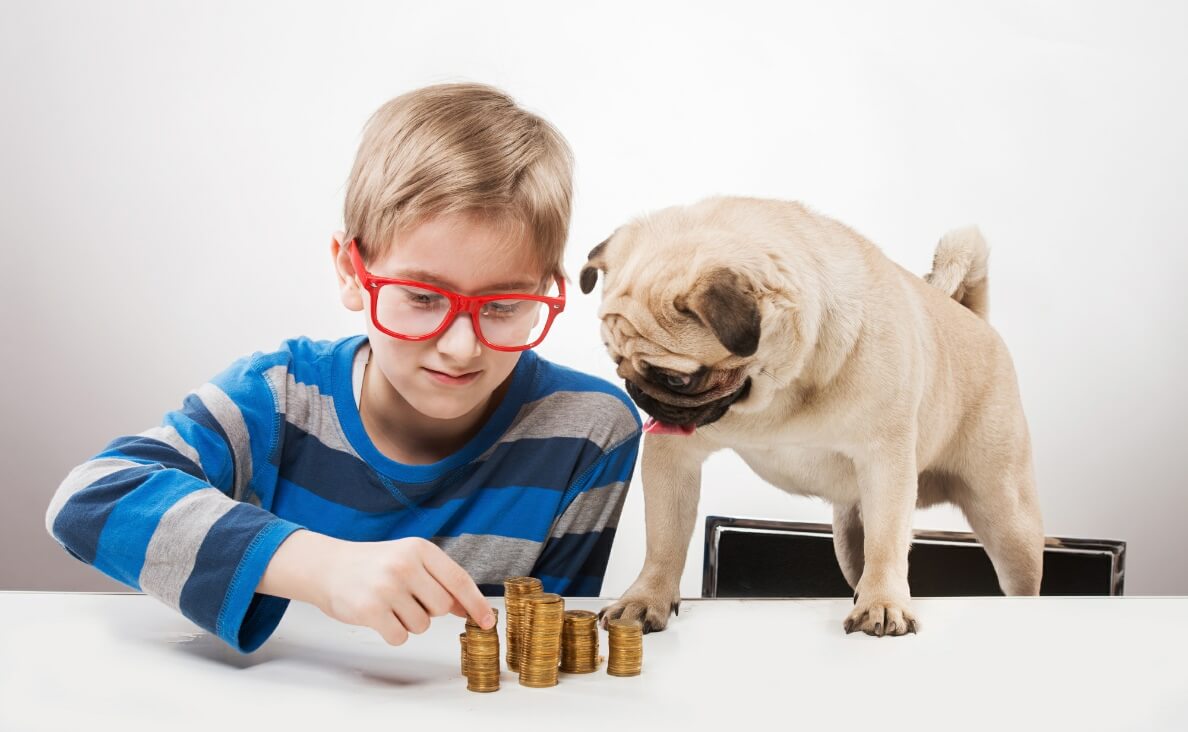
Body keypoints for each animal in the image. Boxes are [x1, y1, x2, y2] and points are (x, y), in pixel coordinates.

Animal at [584, 197, 1040, 636]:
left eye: (677, 379)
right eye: (616, 362)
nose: (639, 393)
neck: (779, 387)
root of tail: (972, 317)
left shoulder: (886, 462)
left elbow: (887, 542)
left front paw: (884, 602)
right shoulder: (674, 459)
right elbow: (664, 539)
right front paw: (647, 598)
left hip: (1008, 518)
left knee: (1019, 578)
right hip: (848, 538)